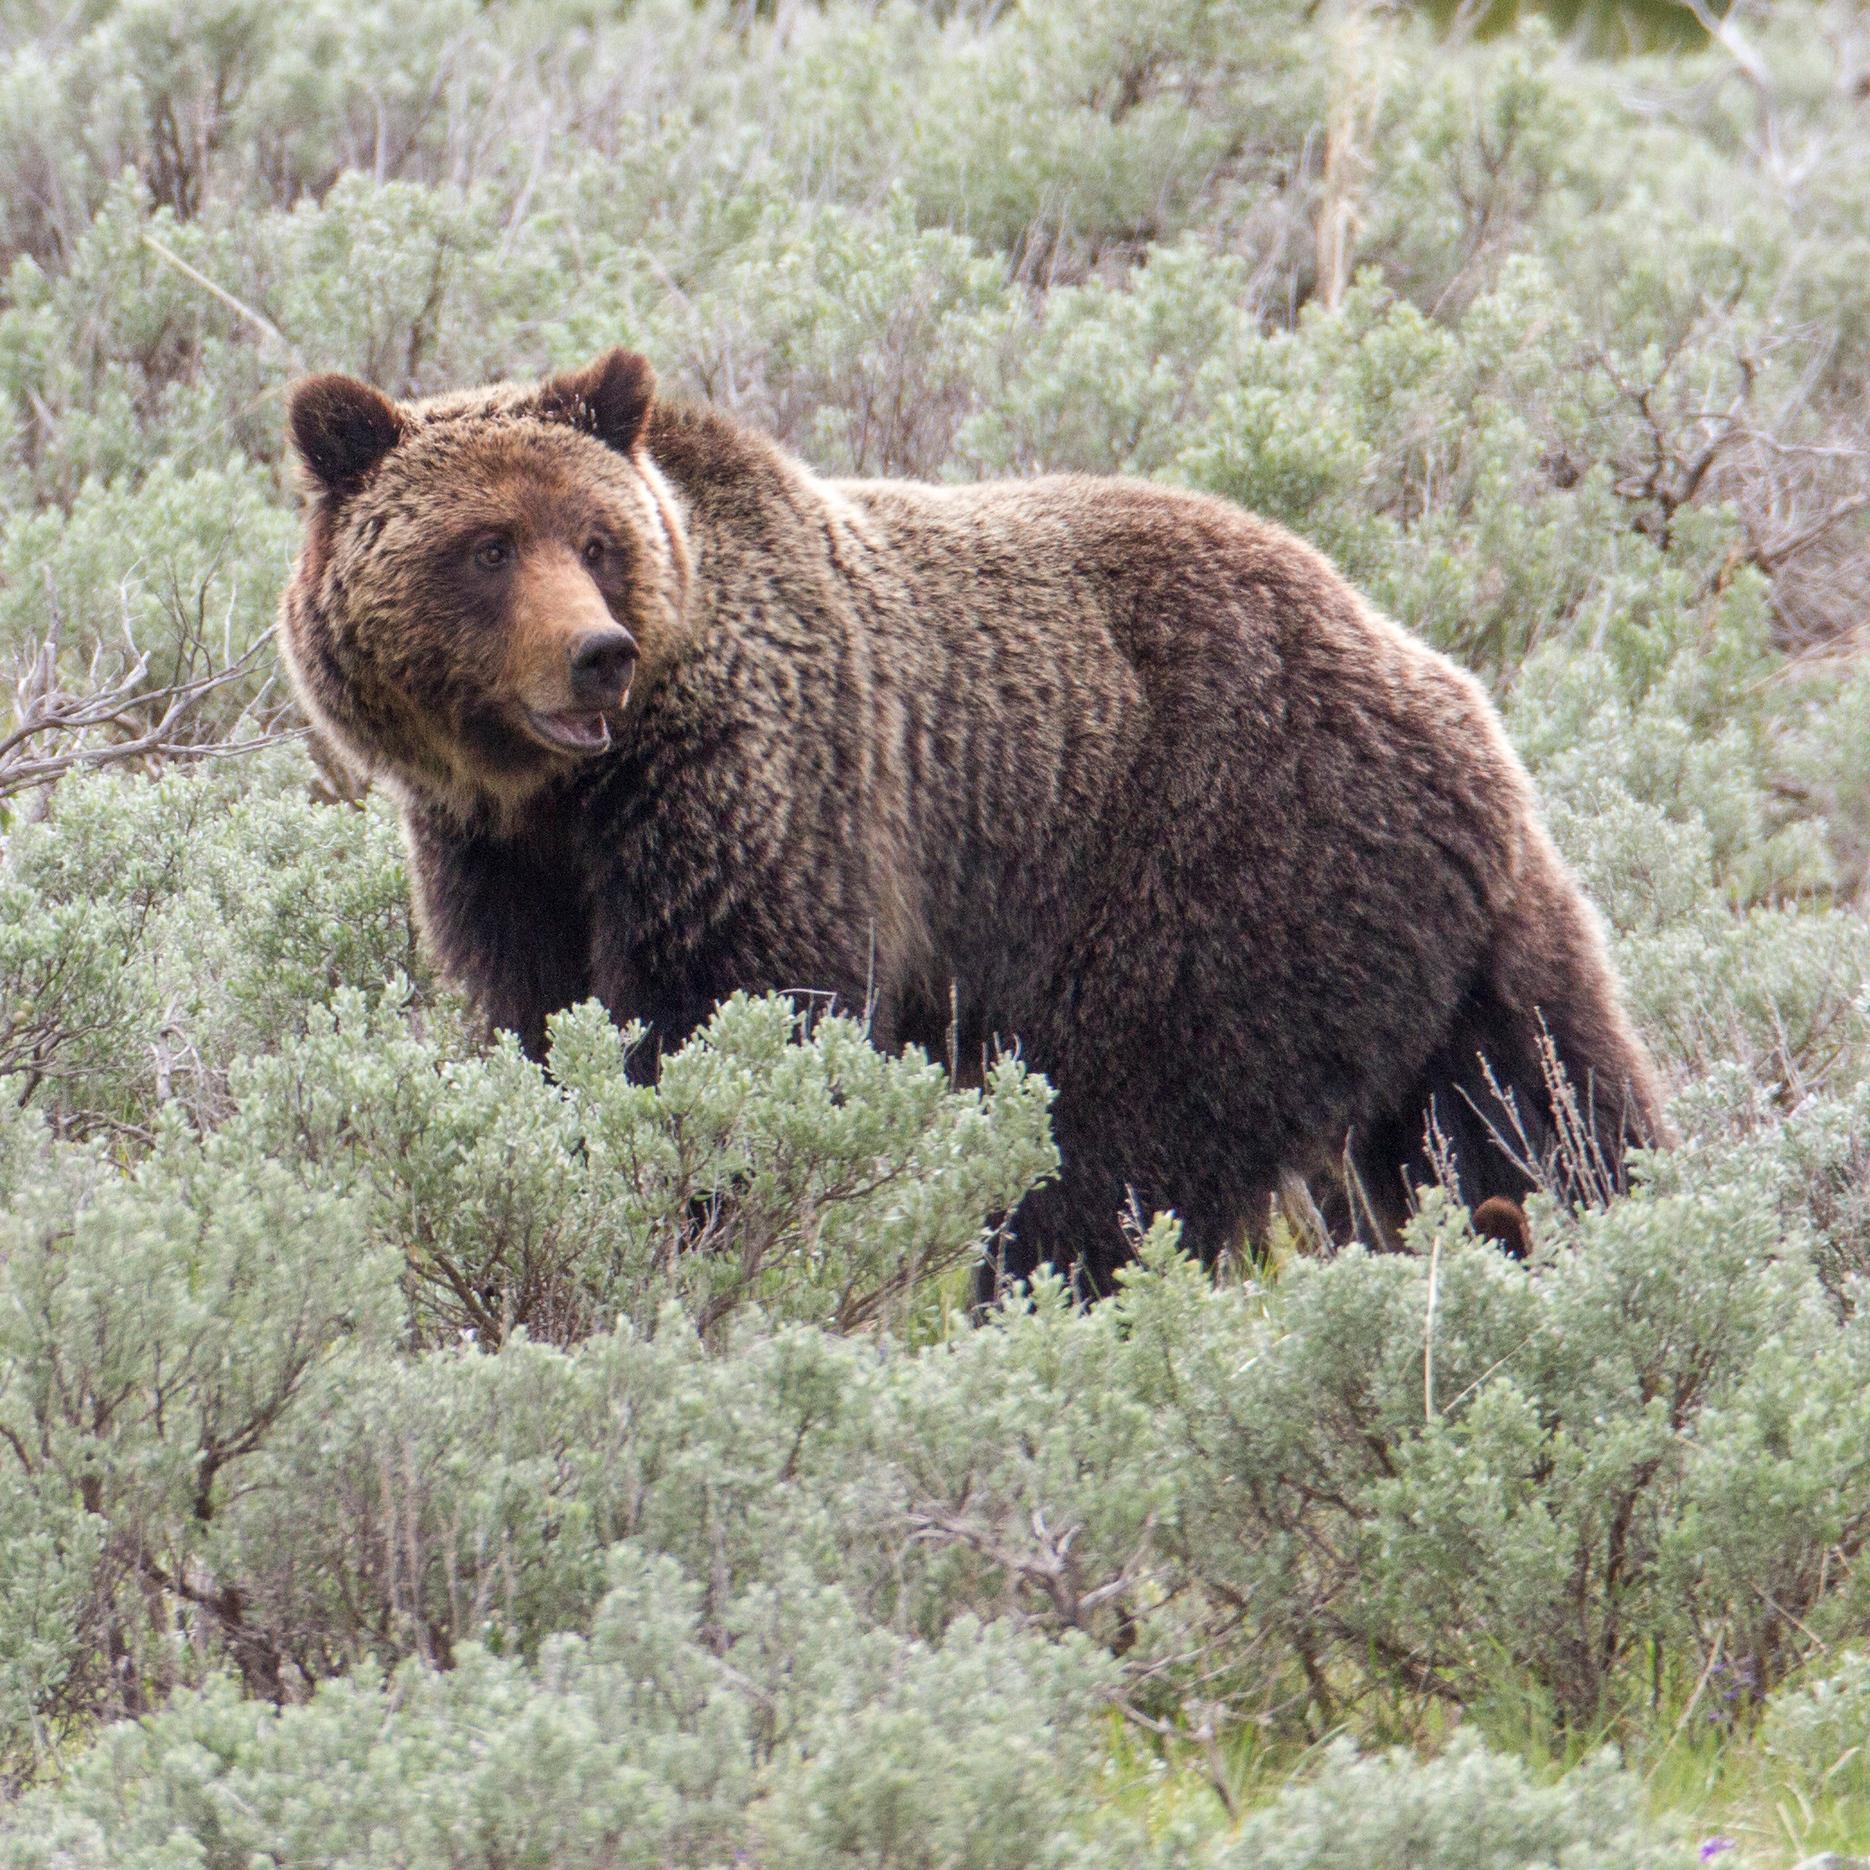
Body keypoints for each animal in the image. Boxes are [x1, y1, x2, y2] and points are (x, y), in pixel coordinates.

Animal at [278, 347, 1666, 1300]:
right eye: (487, 544)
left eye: (597, 537)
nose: (596, 656)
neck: (563, 797)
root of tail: (1452, 700)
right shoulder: (501, 866)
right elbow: (542, 1029)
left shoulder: (761, 798)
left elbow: (731, 1022)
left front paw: (704, 1220)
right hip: (1449, 946)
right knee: (1537, 1107)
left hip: (1217, 877)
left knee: (1114, 1152)